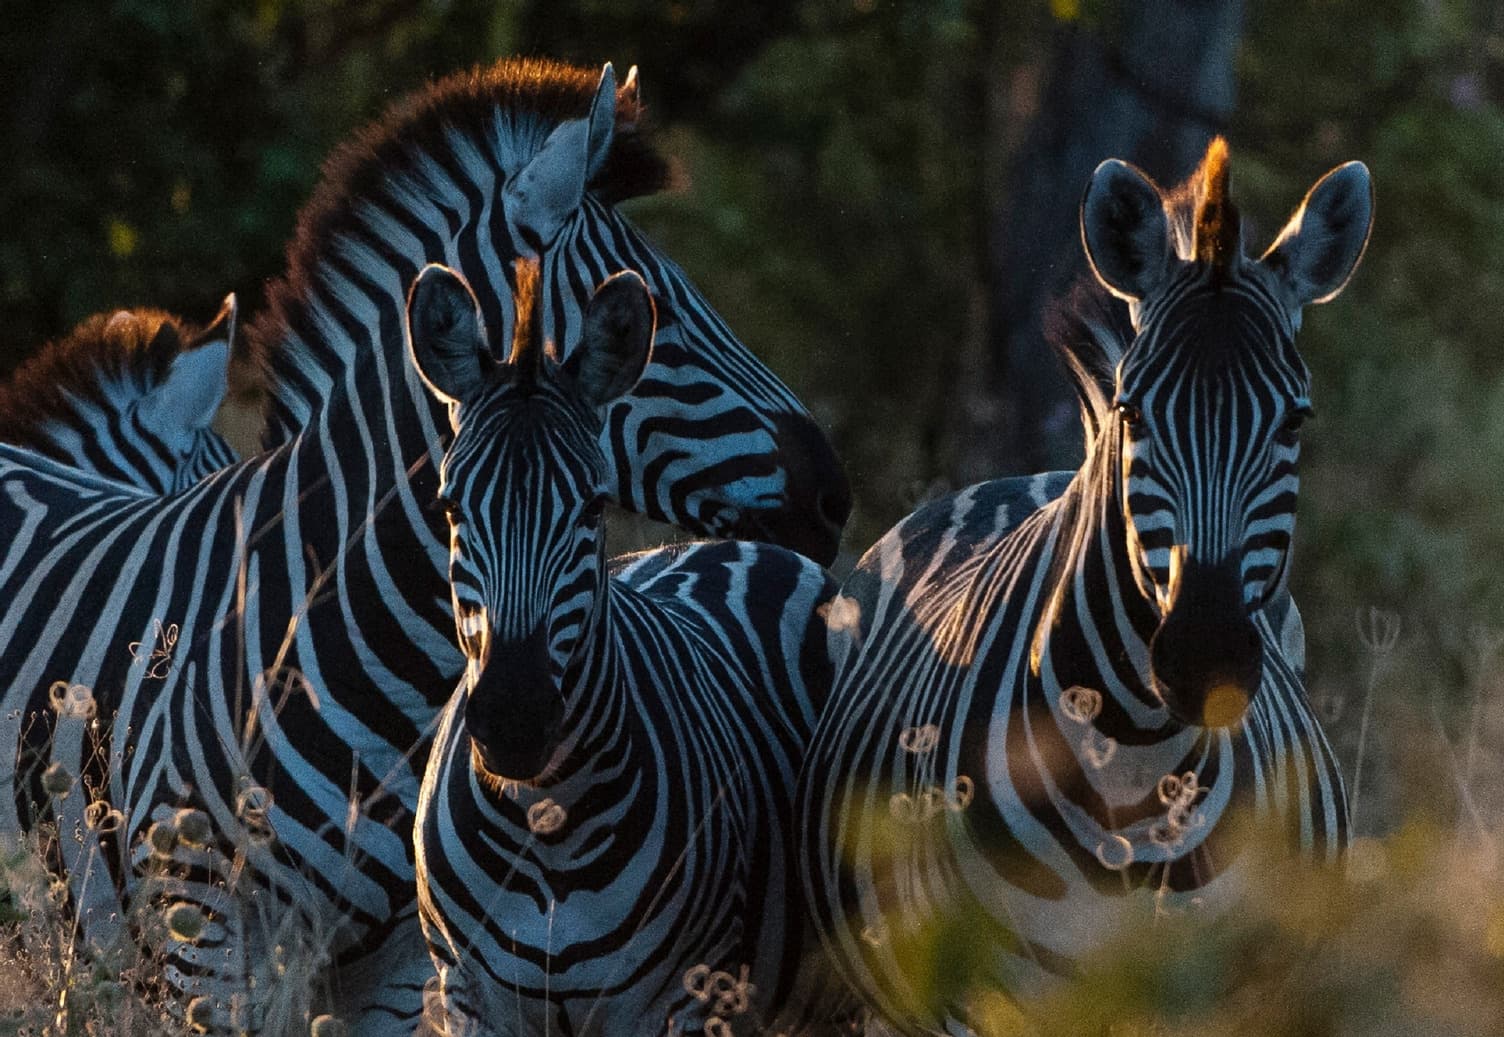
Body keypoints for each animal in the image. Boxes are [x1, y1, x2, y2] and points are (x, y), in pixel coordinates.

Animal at [410, 257, 846, 1036]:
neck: (545, 818)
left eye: (591, 505)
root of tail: (733, 542)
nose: (515, 718)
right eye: (451, 506)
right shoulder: (467, 996)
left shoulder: (679, 1000)